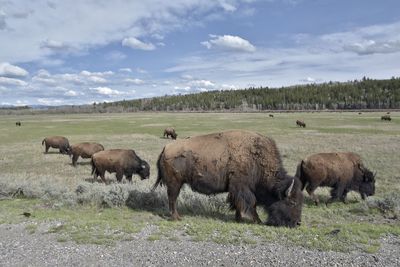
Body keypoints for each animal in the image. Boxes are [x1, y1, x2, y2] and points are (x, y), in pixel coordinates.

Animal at [153, 130, 304, 228]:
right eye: (292, 202)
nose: (298, 223)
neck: (256, 158)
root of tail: (166, 148)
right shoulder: (242, 188)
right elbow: (251, 203)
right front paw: (258, 221)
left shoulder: (236, 189)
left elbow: (238, 203)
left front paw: (239, 219)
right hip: (175, 183)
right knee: (172, 199)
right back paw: (176, 218)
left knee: (172, 198)